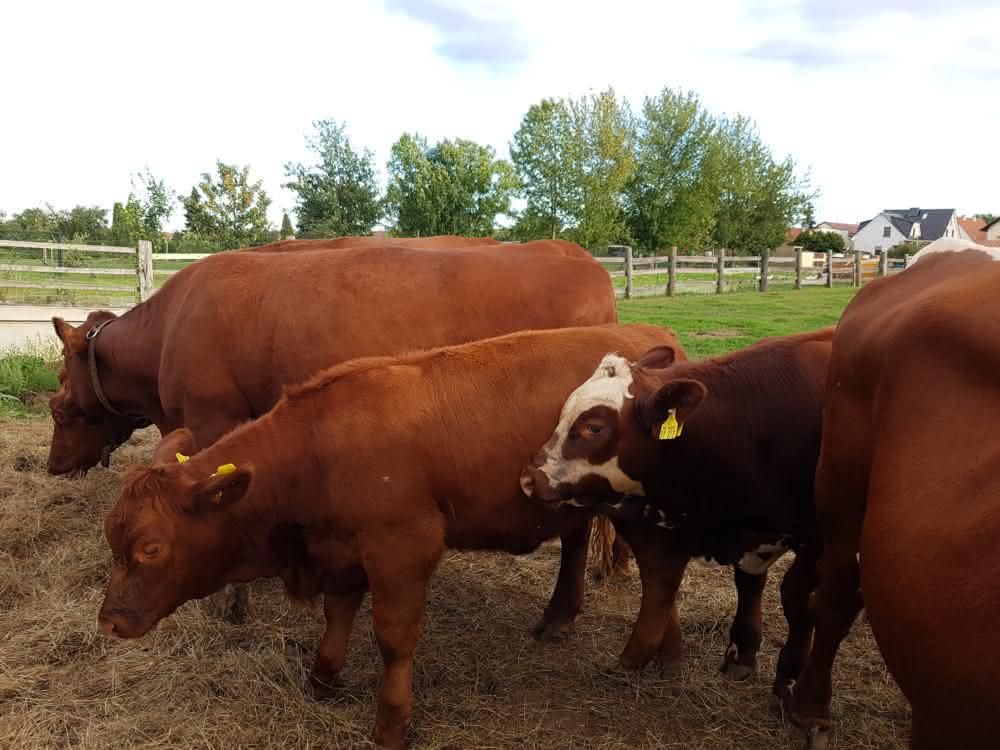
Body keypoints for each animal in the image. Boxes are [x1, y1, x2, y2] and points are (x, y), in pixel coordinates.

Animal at [50, 239, 617, 622]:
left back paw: (563, 610)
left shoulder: (213, 418)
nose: (54, 464)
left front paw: (231, 602)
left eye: (60, 406)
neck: (169, 331)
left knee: (577, 531)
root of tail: (579, 257)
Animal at [97, 324, 683, 750]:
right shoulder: (341, 550)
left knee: (658, 573)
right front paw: (323, 679)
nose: (110, 622)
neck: (317, 448)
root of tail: (651, 336)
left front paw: (391, 723)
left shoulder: (402, 548)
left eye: (150, 547)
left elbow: (393, 639)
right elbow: (337, 615)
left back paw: (643, 653)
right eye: (112, 540)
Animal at [520, 328, 834, 694]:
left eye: (595, 427)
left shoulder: (817, 539)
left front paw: (790, 678)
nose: (531, 478)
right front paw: (741, 654)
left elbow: (798, 600)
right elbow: (745, 583)